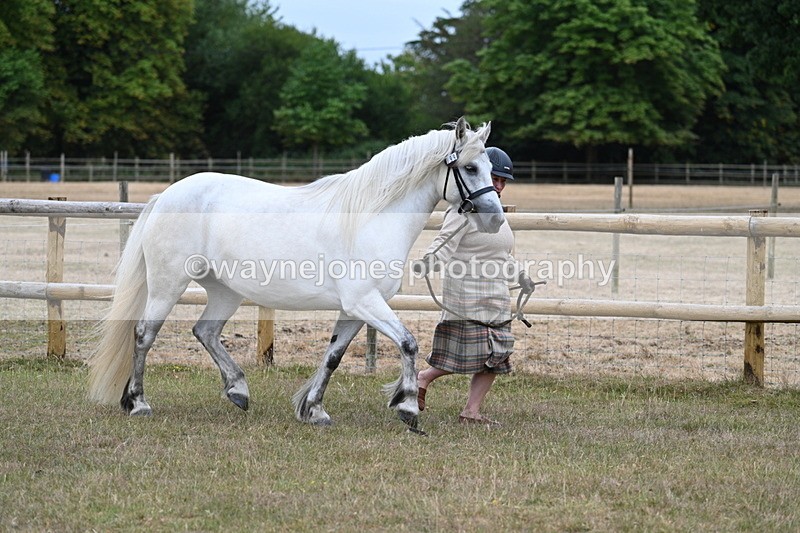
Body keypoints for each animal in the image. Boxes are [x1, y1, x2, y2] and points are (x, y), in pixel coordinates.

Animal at [88, 117, 503, 430]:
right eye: (469, 167)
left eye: (488, 167)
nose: (495, 219)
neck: (370, 218)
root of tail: (165, 196)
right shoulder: (365, 302)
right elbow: (408, 343)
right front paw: (408, 408)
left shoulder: (354, 310)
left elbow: (333, 356)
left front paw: (314, 410)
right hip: (167, 284)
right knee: (144, 334)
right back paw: (138, 403)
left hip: (225, 291)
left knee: (204, 331)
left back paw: (238, 391)